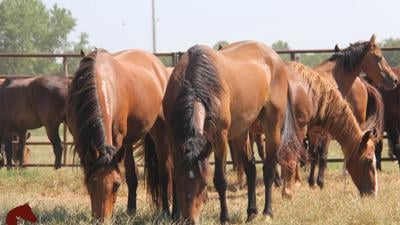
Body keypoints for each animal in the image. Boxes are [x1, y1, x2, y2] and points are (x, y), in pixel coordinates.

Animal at [65, 48, 172, 221]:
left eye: (116, 184)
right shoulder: (80, 138)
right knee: (132, 176)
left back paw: (166, 212)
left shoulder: (117, 139)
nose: (102, 219)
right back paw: (131, 210)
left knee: (165, 173)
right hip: (128, 142)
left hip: (160, 133)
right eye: (92, 182)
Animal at [161, 41, 302, 223]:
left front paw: (225, 218)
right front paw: (175, 216)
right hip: (242, 132)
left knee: (268, 169)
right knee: (251, 168)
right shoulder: (173, 137)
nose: (191, 220)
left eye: (204, 184)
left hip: (272, 126)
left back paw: (267, 212)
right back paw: (251, 212)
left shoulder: (220, 138)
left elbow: (220, 180)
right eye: (179, 182)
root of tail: (277, 59)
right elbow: (173, 172)